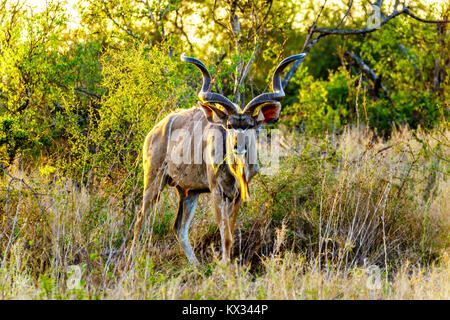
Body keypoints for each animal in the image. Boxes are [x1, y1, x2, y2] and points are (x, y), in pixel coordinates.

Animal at [130, 52, 306, 264]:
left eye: (249, 125)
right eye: (229, 125)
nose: (238, 146)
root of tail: (153, 132)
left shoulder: (237, 196)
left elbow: (230, 230)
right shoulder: (217, 191)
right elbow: (226, 235)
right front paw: (224, 267)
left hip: (188, 192)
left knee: (179, 228)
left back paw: (196, 266)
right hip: (154, 180)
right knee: (140, 219)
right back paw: (131, 262)